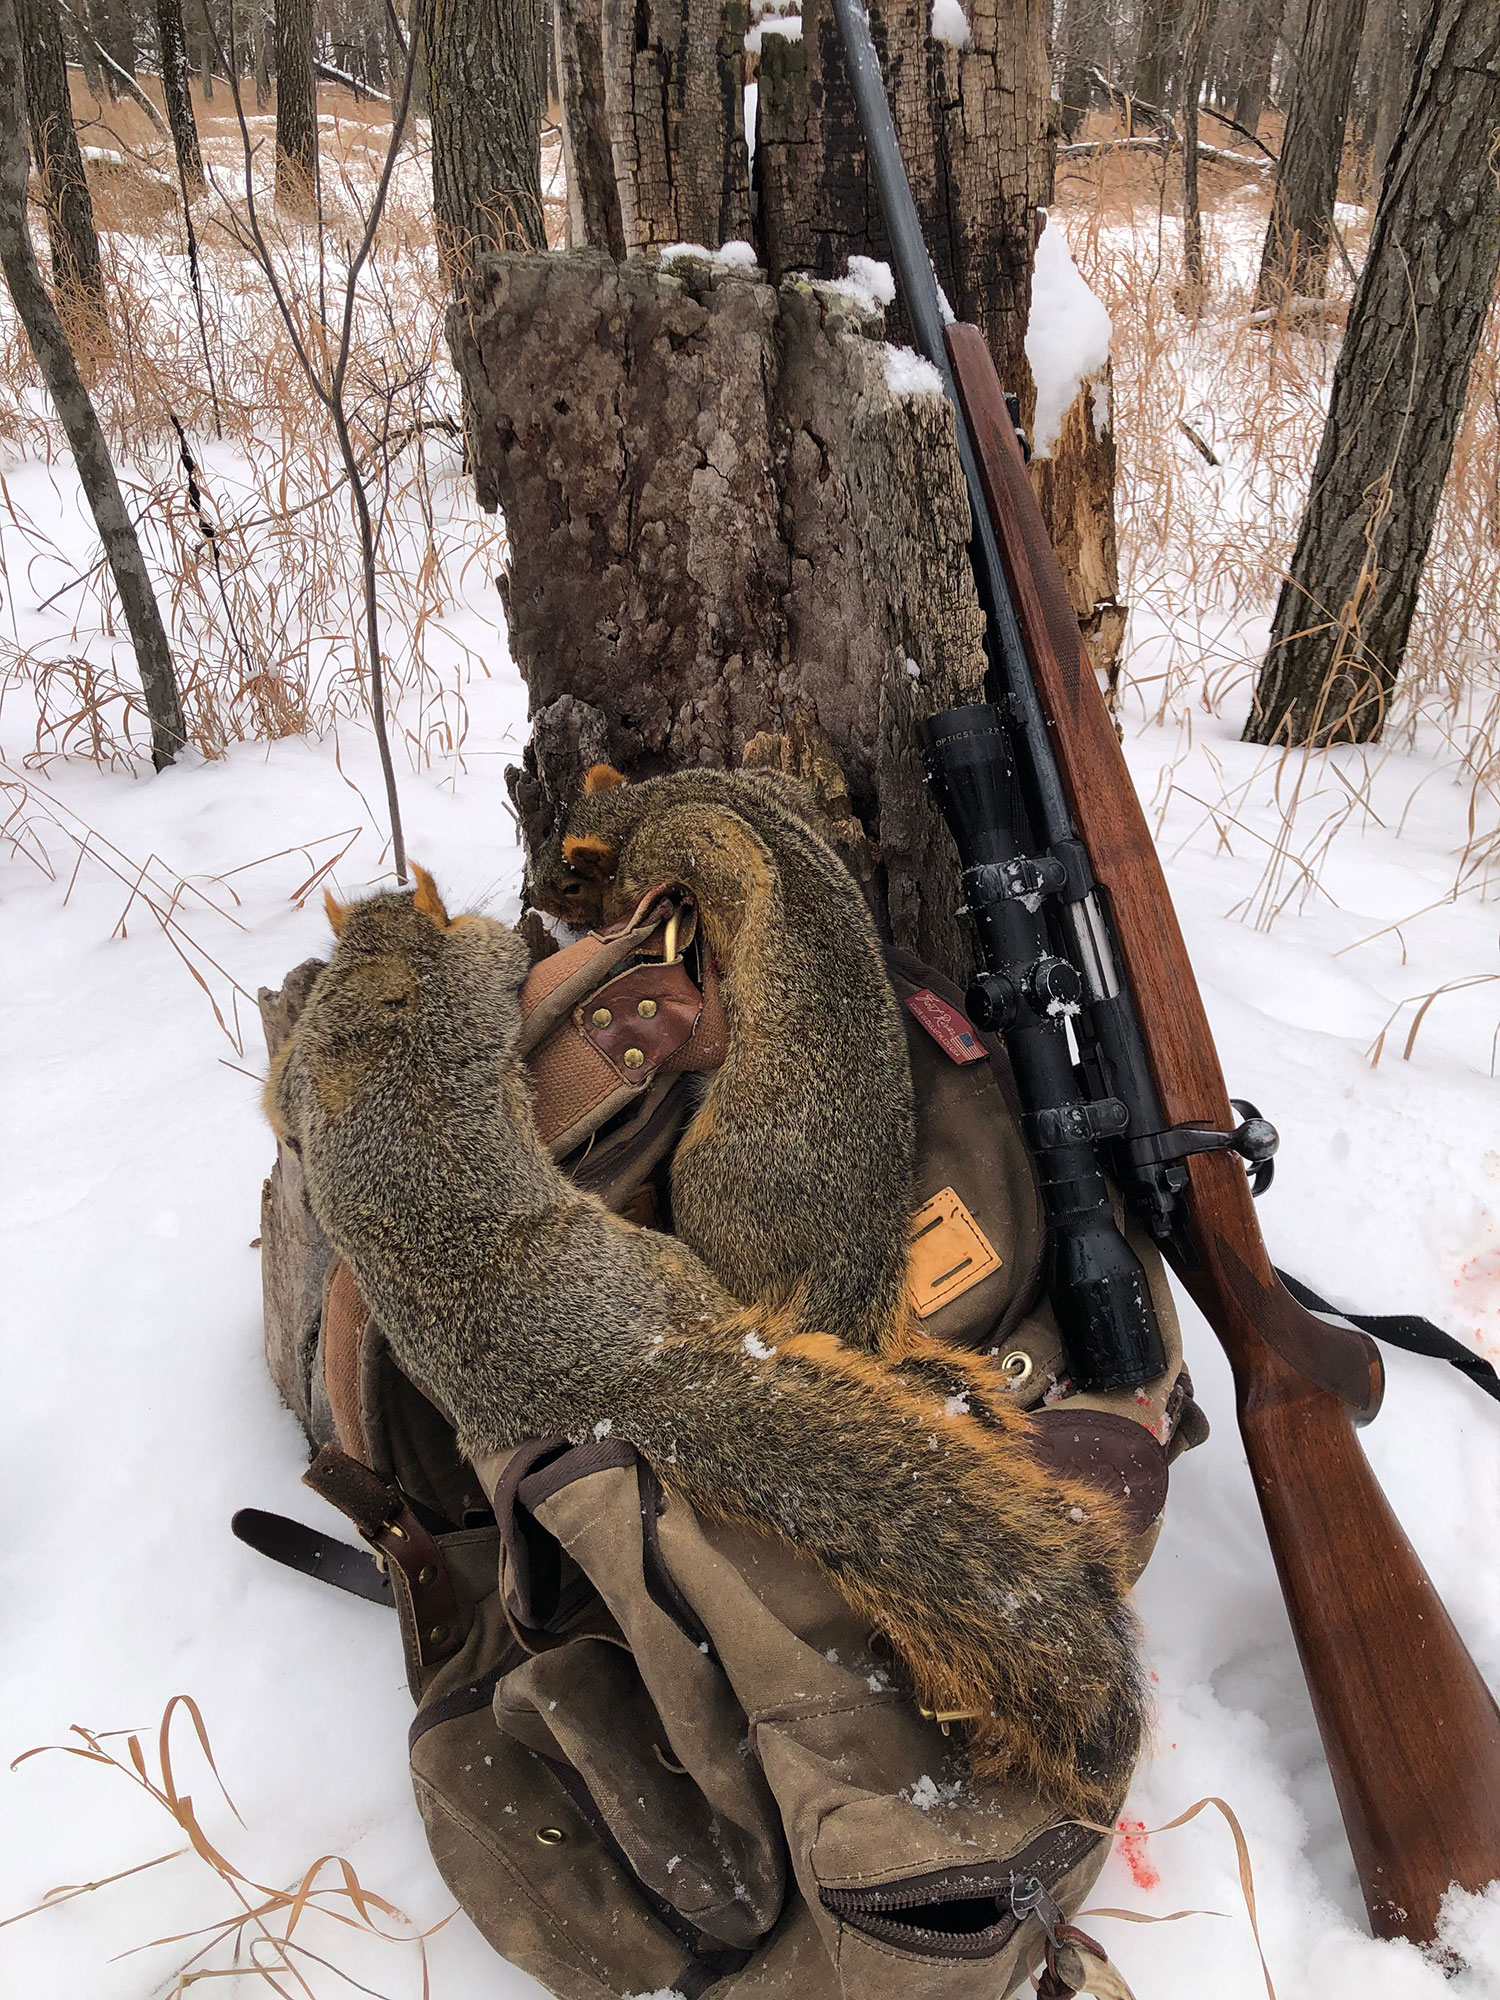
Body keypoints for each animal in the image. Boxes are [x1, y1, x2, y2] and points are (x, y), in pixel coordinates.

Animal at [264, 872, 1144, 1816]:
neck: (367, 993)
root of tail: (621, 1381)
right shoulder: (457, 993)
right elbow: (490, 962)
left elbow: (282, 1099)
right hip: (671, 1266)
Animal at [536, 764, 916, 1360]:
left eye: (573, 882)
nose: (535, 893)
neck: (661, 798)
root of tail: (855, 1248)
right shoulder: (774, 791)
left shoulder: (701, 841)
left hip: (716, 1180)